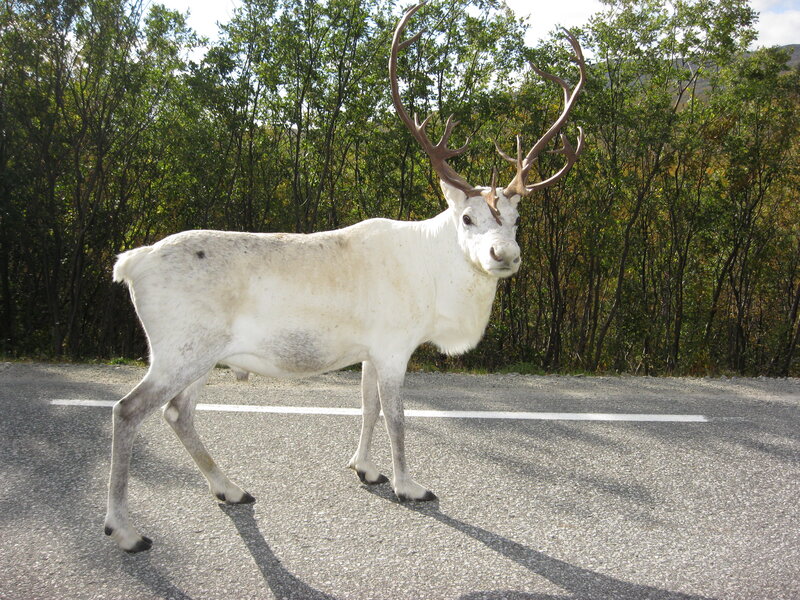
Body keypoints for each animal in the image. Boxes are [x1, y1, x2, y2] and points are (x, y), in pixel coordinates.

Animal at [104, 1, 585, 552]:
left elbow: (368, 408)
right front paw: (408, 486)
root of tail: (130, 262)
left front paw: (366, 470)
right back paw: (125, 529)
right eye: (467, 218)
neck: (436, 287)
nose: (504, 254)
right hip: (180, 348)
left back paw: (230, 489)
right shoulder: (395, 344)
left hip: (198, 355)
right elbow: (397, 417)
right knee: (129, 409)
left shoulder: (370, 350)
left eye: (517, 218)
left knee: (177, 412)